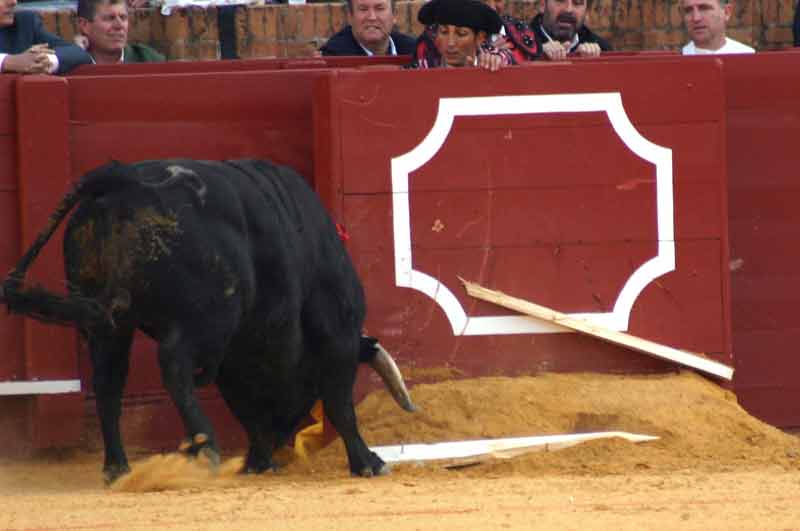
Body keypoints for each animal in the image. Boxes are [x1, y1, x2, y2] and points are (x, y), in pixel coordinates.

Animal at [4, 158, 418, 482]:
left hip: (110, 327)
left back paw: (118, 468)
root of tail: (119, 177)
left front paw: (258, 462)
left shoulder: (235, 356)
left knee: (108, 383)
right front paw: (368, 462)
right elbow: (339, 403)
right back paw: (204, 446)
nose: (283, 440)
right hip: (203, 319)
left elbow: (247, 409)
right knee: (172, 365)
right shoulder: (337, 335)